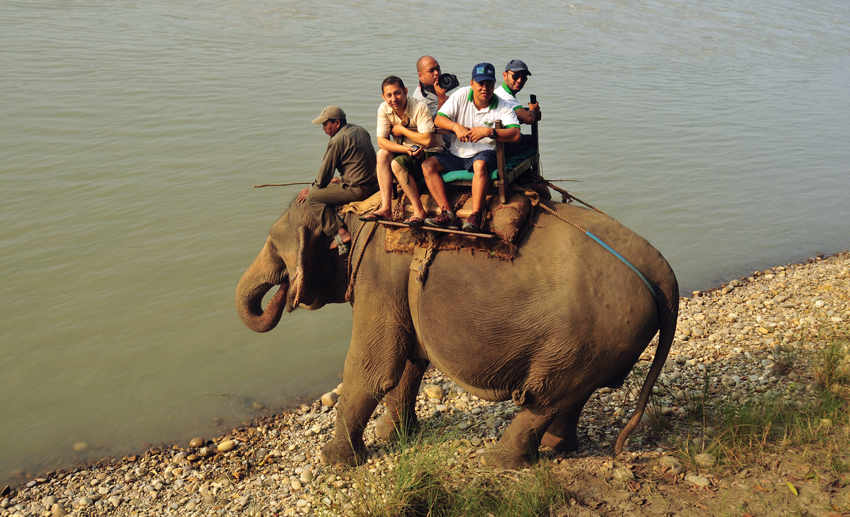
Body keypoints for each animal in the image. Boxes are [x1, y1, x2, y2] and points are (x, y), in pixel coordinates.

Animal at [237, 195, 676, 468]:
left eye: (273, 245)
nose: (284, 295)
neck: (360, 209)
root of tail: (662, 272)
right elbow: (409, 362)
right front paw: (393, 436)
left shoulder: (379, 273)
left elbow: (373, 368)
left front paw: (333, 461)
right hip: (599, 343)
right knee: (572, 394)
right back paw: (556, 448)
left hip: (590, 336)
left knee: (546, 398)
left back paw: (498, 462)